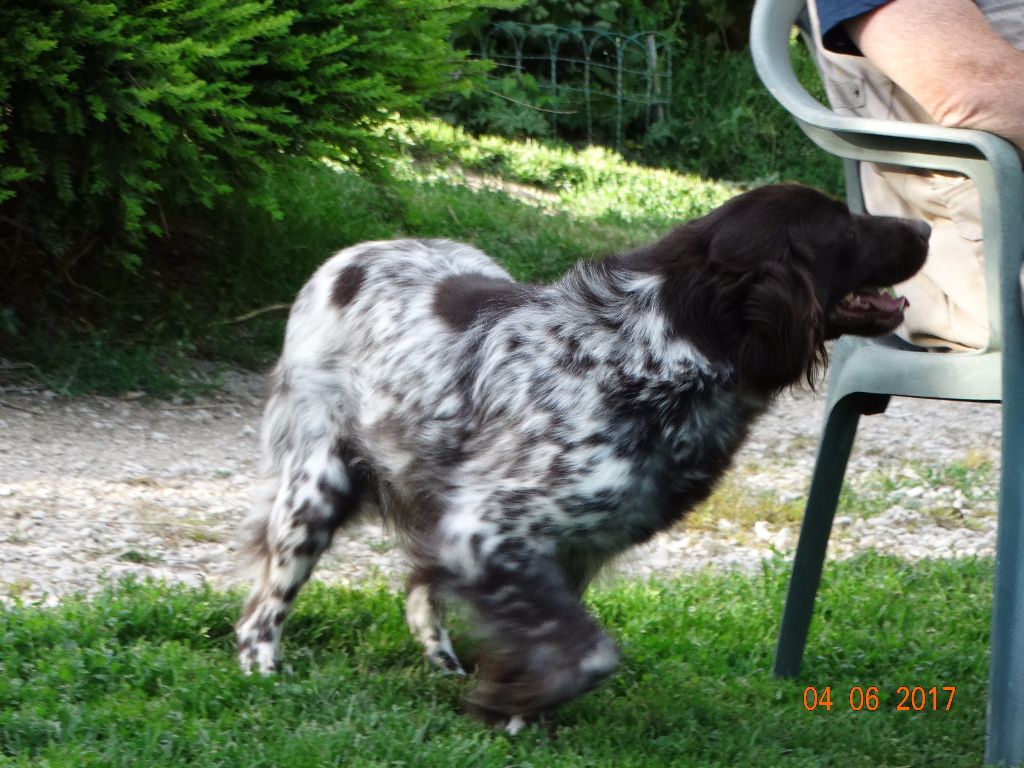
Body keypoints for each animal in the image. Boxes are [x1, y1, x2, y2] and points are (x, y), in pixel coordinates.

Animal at [235, 183, 929, 726]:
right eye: (842, 225)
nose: (924, 226)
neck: (660, 349)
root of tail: (346, 259)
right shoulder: (488, 528)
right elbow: (590, 652)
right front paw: (510, 704)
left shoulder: (555, 549)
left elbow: (548, 640)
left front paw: (514, 703)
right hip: (319, 486)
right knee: (262, 609)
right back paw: (261, 665)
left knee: (419, 585)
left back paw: (439, 656)